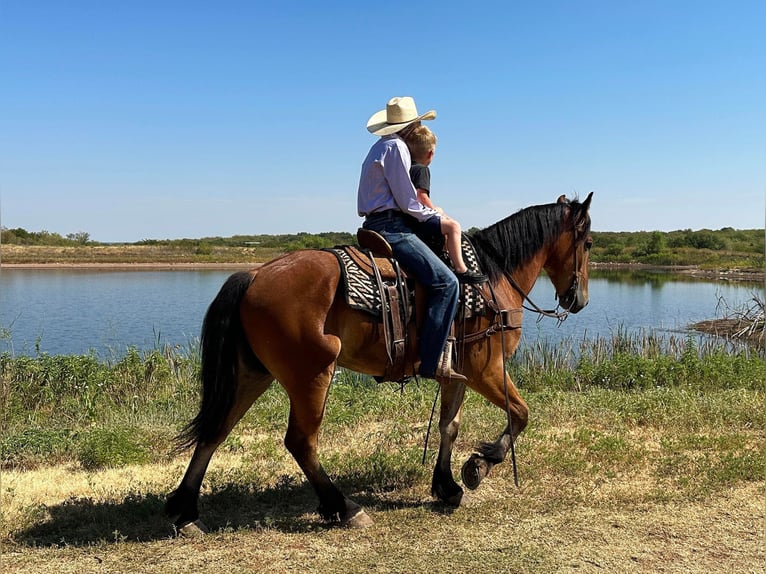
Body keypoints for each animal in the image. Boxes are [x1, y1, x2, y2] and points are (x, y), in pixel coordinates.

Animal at [168, 192, 596, 532]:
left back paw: (186, 510)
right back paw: (343, 507)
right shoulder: (485, 370)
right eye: (589, 243)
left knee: (215, 431)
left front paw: (446, 485)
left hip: (252, 374)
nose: (579, 301)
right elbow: (522, 414)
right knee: (301, 442)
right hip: (312, 376)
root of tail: (255, 274)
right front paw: (479, 465)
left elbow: (449, 426)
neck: (492, 279)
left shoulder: (455, 374)